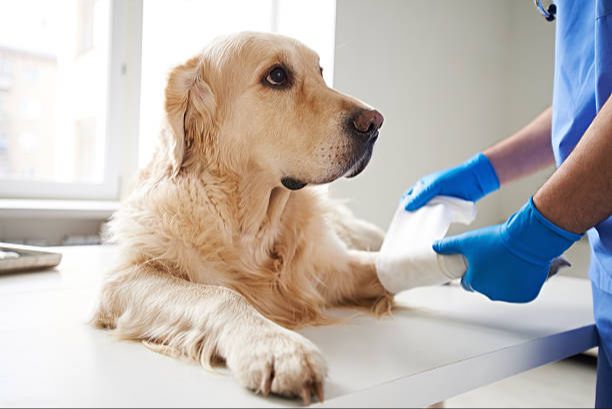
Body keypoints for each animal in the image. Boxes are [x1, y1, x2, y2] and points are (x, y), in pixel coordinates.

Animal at [93, 31, 390, 402]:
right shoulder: (125, 278)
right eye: (277, 76)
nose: (375, 122)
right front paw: (277, 348)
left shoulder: (330, 270)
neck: (250, 224)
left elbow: (384, 267)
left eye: (320, 71)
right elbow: (221, 295)